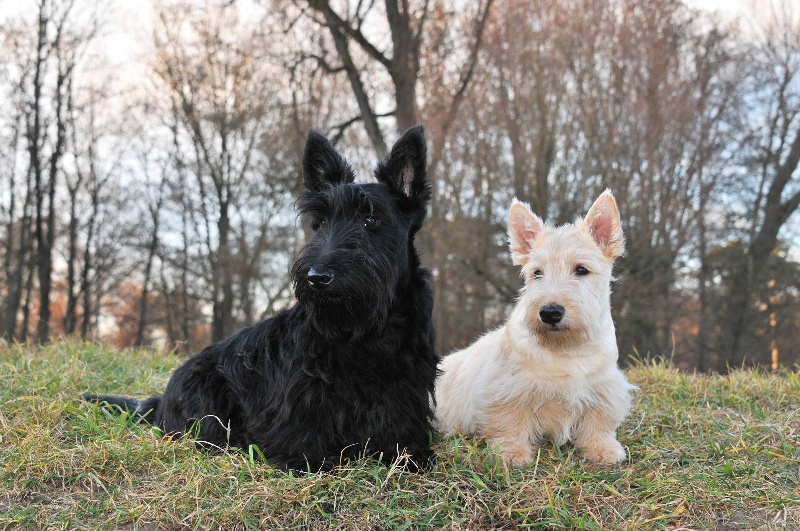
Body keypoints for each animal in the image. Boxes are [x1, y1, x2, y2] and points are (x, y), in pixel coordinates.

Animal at [81, 125, 438, 474]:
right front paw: (308, 459)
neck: (367, 329)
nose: (316, 277)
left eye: (371, 220)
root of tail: (160, 402)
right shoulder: (305, 391)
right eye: (320, 222)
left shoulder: (406, 387)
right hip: (206, 394)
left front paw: (410, 454)